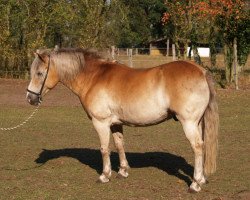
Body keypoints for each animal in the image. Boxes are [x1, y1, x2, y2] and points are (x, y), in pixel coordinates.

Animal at [26, 47, 219, 192]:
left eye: (39, 73)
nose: (30, 99)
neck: (94, 77)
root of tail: (201, 71)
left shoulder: (101, 123)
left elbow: (104, 149)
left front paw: (105, 175)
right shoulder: (116, 123)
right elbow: (119, 145)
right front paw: (123, 171)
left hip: (189, 123)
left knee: (197, 147)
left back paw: (195, 184)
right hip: (197, 123)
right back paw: (201, 179)